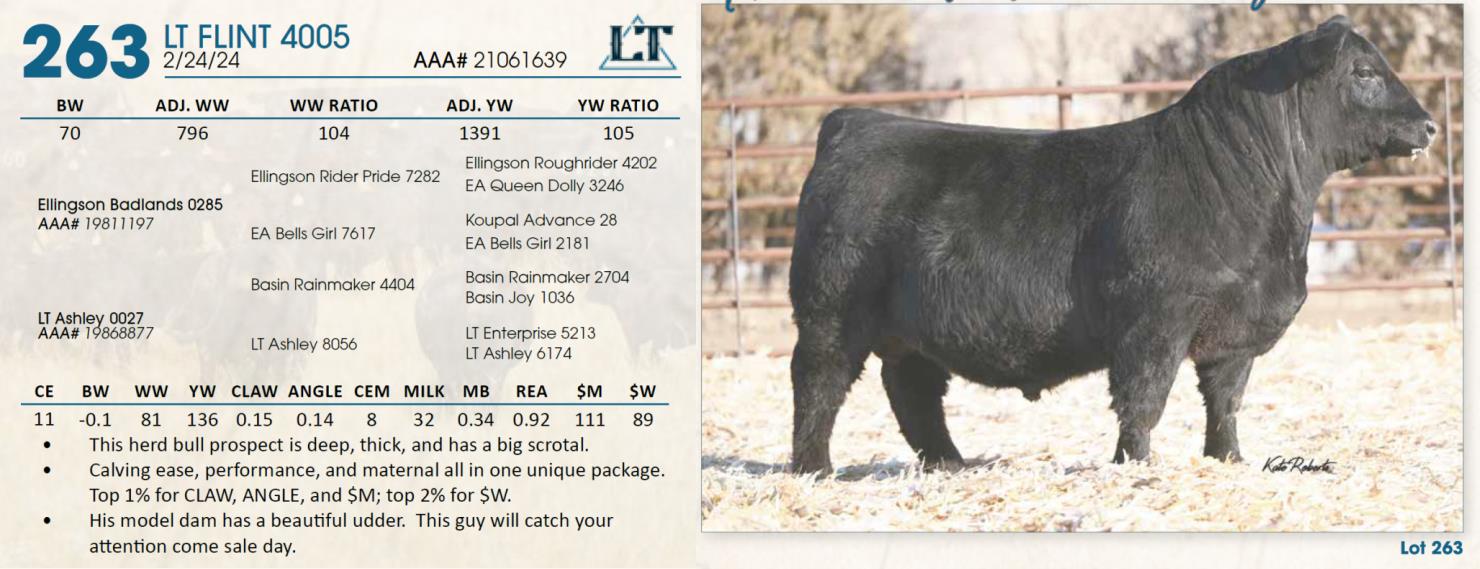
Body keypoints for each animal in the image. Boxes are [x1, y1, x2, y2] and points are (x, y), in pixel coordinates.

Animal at [787, 16, 1437, 474]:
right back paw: (813, 468)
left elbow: (1226, 402)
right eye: (1364, 72)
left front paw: (1228, 460)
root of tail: (853, 122)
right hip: (830, 313)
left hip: (909, 331)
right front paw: (1135, 465)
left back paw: (949, 463)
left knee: (915, 392)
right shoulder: (1154, 321)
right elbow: (1143, 399)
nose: (1428, 125)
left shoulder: (1235, 331)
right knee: (818, 385)